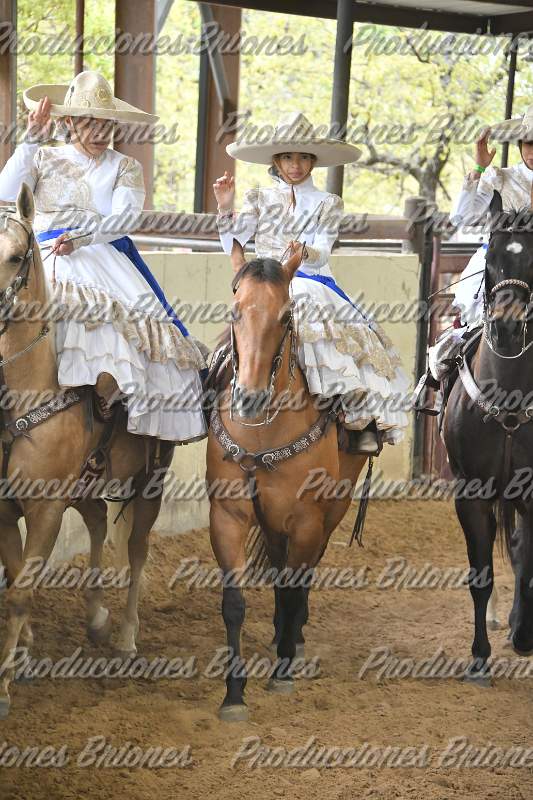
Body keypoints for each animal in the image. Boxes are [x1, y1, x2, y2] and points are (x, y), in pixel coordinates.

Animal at [0, 184, 175, 716]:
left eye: (14, 256)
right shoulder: (6, 508)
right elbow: (15, 576)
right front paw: (24, 650)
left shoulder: (46, 509)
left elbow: (19, 593)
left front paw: (4, 687)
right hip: (87, 485)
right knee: (98, 519)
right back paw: (96, 616)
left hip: (150, 483)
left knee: (137, 550)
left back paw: (126, 636)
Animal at [206, 240, 369, 721]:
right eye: (236, 311)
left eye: (284, 317)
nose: (249, 397)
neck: (264, 431)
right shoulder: (229, 514)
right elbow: (235, 603)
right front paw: (234, 694)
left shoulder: (306, 519)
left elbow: (296, 588)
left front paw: (282, 673)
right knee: (281, 574)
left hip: (331, 510)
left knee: (304, 575)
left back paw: (292, 638)